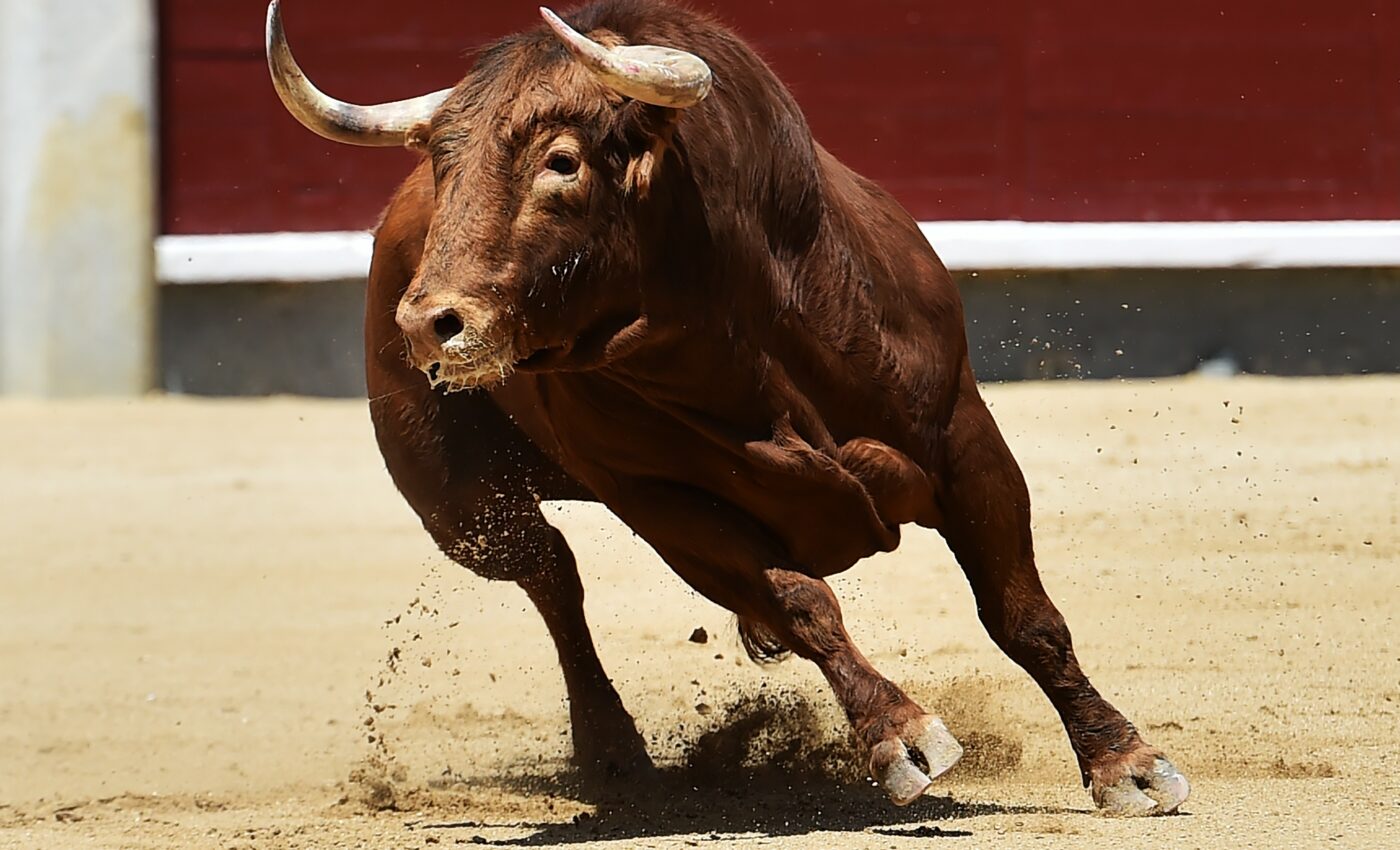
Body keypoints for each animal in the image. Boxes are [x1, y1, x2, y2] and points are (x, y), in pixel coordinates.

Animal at [267, 0, 1189, 815]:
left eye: (562, 162)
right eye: (443, 163)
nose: (430, 324)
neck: (739, 335)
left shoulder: (965, 439)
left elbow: (1022, 614)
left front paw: (1127, 763)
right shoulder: (664, 506)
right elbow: (802, 600)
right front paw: (901, 735)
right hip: (462, 510)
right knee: (551, 576)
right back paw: (615, 755)